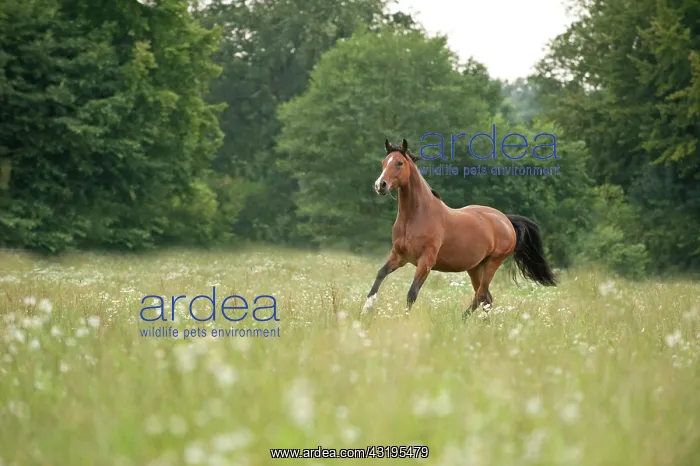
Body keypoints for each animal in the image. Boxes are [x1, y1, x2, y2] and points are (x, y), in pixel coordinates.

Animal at [362, 138, 557, 322]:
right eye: (383, 162)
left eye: (399, 163)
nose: (380, 185)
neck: (415, 217)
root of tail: (505, 220)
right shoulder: (399, 256)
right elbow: (379, 276)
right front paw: (364, 311)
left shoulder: (426, 261)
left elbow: (412, 293)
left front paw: (404, 320)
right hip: (475, 267)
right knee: (487, 298)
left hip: (492, 263)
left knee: (481, 296)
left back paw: (462, 321)